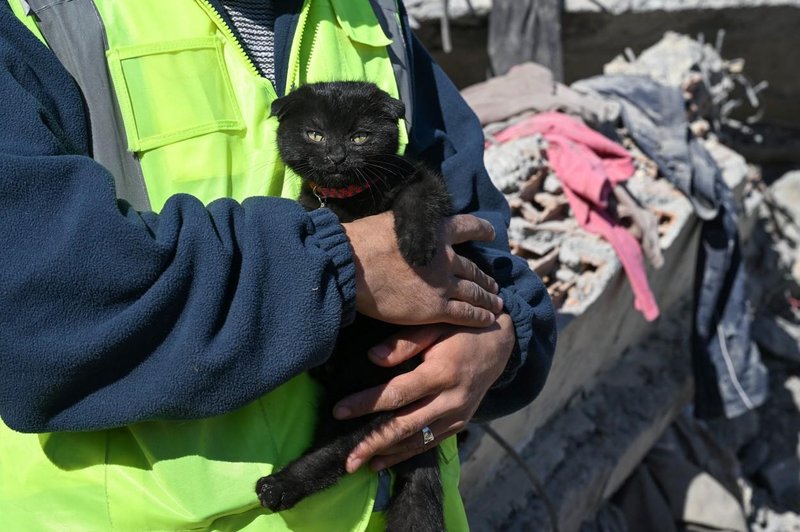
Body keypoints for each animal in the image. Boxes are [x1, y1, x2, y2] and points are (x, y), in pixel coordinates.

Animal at [258, 81, 456, 528]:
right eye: (315, 134)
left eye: (360, 137)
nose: (335, 155)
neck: (348, 202)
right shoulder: (312, 210)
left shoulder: (422, 178)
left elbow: (417, 198)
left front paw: (416, 246)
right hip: (355, 400)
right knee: (339, 449)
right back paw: (280, 487)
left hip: (380, 393)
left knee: (343, 448)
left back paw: (280, 486)